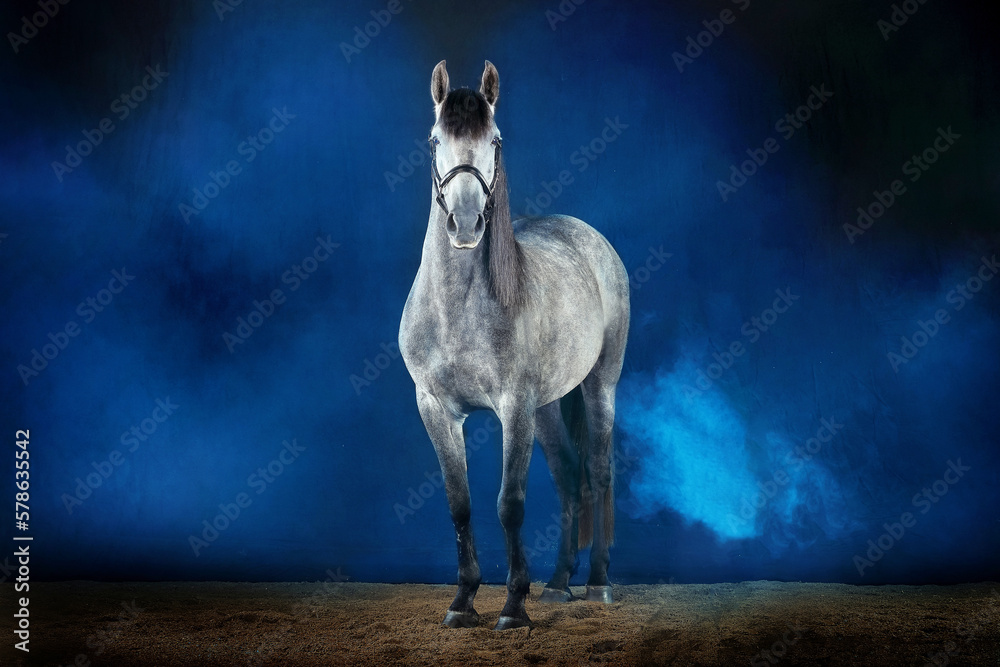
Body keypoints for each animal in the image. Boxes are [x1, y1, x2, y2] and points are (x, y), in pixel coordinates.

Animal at [398, 60, 630, 631]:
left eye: (496, 140)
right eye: (435, 139)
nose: (465, 224)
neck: (458, 310)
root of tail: (590, 239)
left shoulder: (514, 407)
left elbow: (510, 503)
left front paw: (512, 606)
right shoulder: (435, 407)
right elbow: (459, 503)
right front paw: (463, 601)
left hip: (599, 385)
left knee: (598, 471)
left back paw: (597, 582)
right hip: (548, 406)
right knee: (569, 476)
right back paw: (559, 583)